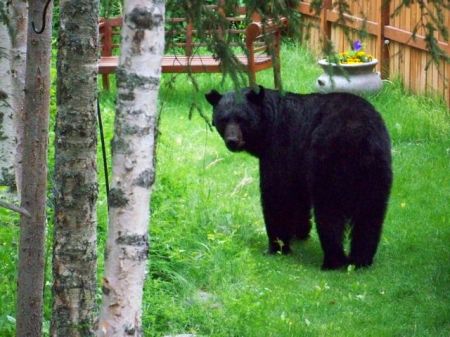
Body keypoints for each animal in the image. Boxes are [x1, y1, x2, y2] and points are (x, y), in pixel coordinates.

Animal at [206, 85, 392, 270]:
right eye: (223, 119)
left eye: (241, 119)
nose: (232, 140)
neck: (269, 125)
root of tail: (359, 137)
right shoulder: (299, 162)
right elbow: (298, 194)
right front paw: (300, 232)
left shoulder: (281, 147)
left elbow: (277, 193)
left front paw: (277, 246)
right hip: (377, 169)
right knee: (370, 214)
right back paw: (361, 259)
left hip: (329, 161)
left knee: (330, 212)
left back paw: (333, 261)